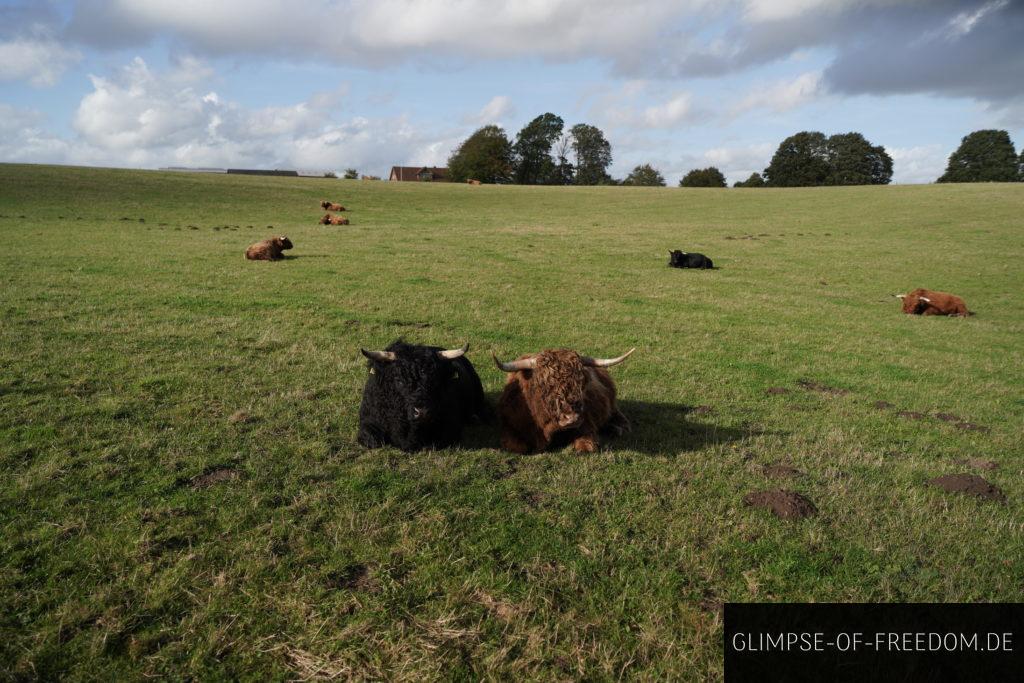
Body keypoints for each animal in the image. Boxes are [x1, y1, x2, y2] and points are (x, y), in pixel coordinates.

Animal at [358, 339, 489, 448]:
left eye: (435, 380)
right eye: (399, 380)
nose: (423, 412)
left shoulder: (451, 424)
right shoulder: (367, 422)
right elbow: (373, 440)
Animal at [493, 348, 634, 454]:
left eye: (581, 384)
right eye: (544, 385)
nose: (572, 418)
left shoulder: (586, 424)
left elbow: (586, 446)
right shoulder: (509, 425)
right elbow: (516, 447)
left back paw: (617, 429)